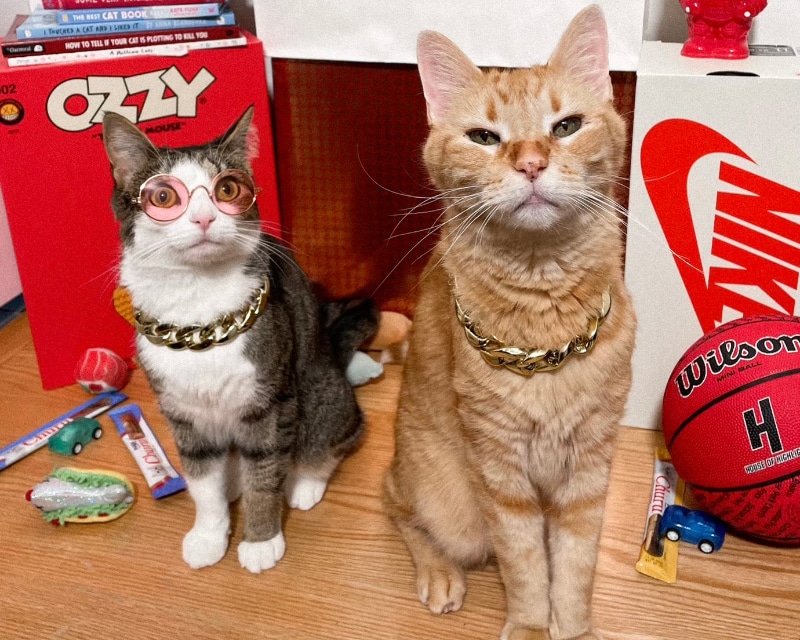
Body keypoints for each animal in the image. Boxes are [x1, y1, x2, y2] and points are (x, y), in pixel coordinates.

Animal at [102, 107, 378, 572]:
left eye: (228, 189)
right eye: (164, 197)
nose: (204, 218)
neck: (198, 301)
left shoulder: (269, 402)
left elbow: (264, 474)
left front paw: (261, 539)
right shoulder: (183, 412)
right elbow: (201, 482)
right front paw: (208, 535)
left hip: (322, 395)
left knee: (335, 437)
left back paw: (304, 481)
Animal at [384, 6, 636, 640]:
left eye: (566, 126)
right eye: (483, 138)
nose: (530, 163)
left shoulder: (589, 469)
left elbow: (573, 565)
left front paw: (573, 627)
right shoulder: (500, 472)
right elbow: (524, 563)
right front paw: (529, 625)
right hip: (450, 504)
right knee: (396, 504)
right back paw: (439, 572)